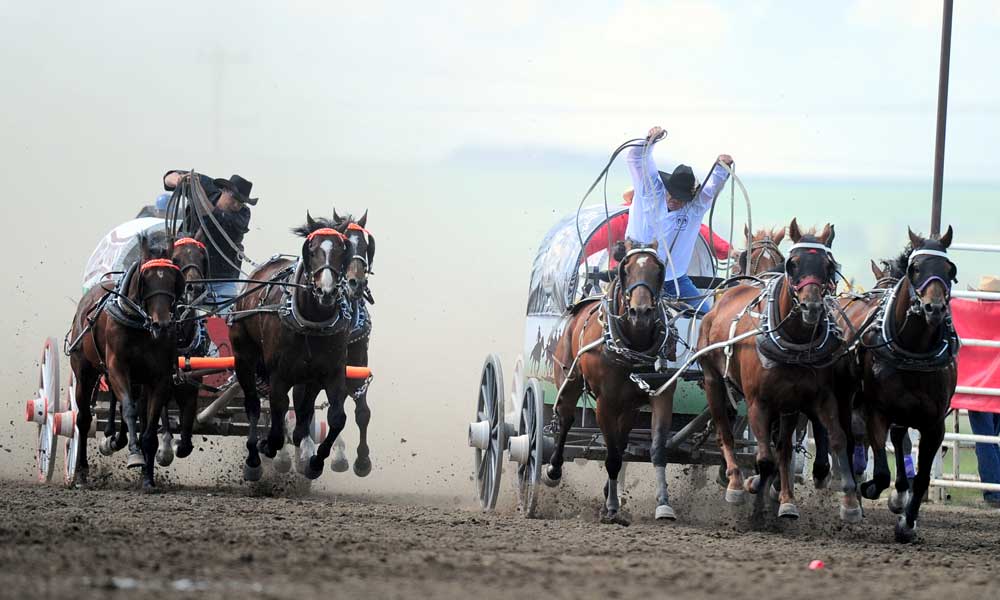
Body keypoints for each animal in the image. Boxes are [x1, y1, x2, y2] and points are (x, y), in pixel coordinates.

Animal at [68, 233, 186, 488]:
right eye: (146, 278)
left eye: (173, 278)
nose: (162, 325)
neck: (139, 324)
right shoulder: (118, 369)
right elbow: (130, 411)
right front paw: (134, 455)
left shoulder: (159, 377)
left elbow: (149, 426)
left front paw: (148, 477)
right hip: (85, 372)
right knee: (83, 419)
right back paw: (81, 473)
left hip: (137, 381)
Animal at [229, 213, 354, 480]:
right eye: (312, 250)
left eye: (341, 250)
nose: (326, 291)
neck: (312, 322)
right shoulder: (278, 375)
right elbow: (277, 418)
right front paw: (268, 446)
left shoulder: (330, 372)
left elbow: (336, 418)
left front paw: (315, 461)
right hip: (243, 357)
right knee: (254, 406)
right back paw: (254, 457)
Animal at [544, 241, 676, 524]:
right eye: (625, 270)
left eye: (659, 270)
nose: (641, 312)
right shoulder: (605, 404)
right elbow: (613, 456)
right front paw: (613, 509)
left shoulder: (660, 395)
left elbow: (656, 449)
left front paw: (663, 504)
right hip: (569, 381)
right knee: (566, 420)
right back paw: (553, 470)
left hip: (628, 408)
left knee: (621, 440)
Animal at [696, 219, 860, 520]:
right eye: (793, 264)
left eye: (829, 265)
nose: (811, 306)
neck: (792, 339)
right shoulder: (757, 403)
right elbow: (764, 458)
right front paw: (752, 489)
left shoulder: (809, 399)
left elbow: (835, 440)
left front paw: (848, 502)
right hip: (713, 381)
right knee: (725, 430)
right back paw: (735, 480)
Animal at [832, 227, 956, 540]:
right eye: (916, 268)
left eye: (949, 270)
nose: (934, 308)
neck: (914, 351)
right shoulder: (877, 411)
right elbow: (881, 472)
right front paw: (869, 489)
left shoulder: (934, 423)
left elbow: (921, 477)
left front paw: (907, 522)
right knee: (850, 442)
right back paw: (855, 497)